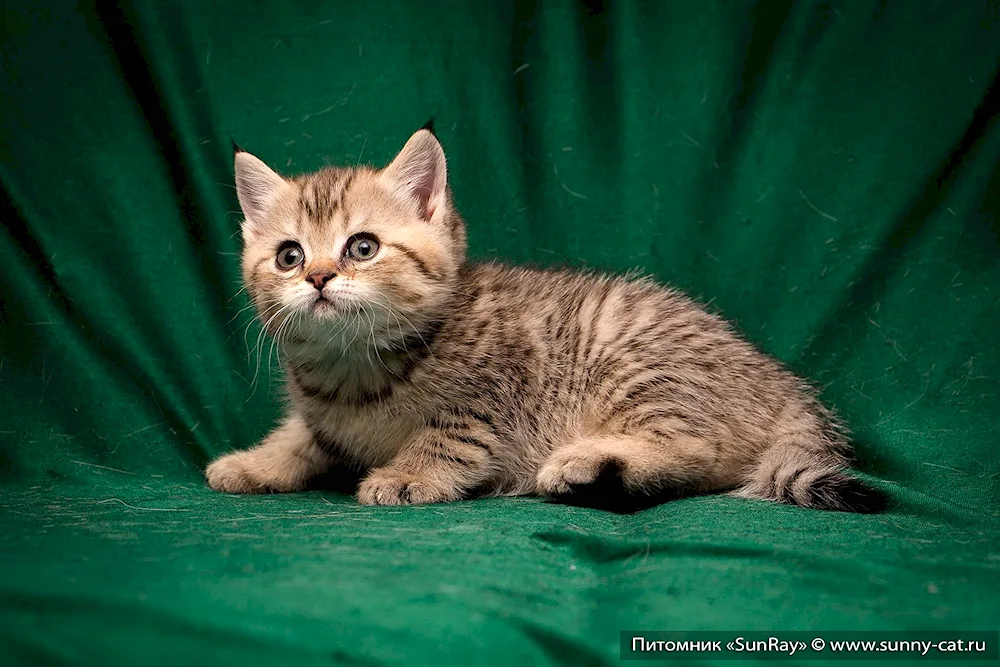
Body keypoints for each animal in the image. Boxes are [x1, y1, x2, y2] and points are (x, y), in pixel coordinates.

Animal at [205, 125, 884, 512]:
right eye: (289, 257)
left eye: (363, 247)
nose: (318, 277)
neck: (354, 365)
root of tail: (784, 387)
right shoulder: (321, 417)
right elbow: (301, 436)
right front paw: (255, 461)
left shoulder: (490, 395)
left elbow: (447, 436)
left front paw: (407, 474)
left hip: (641, 369)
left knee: (700, 451)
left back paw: (587, 463)